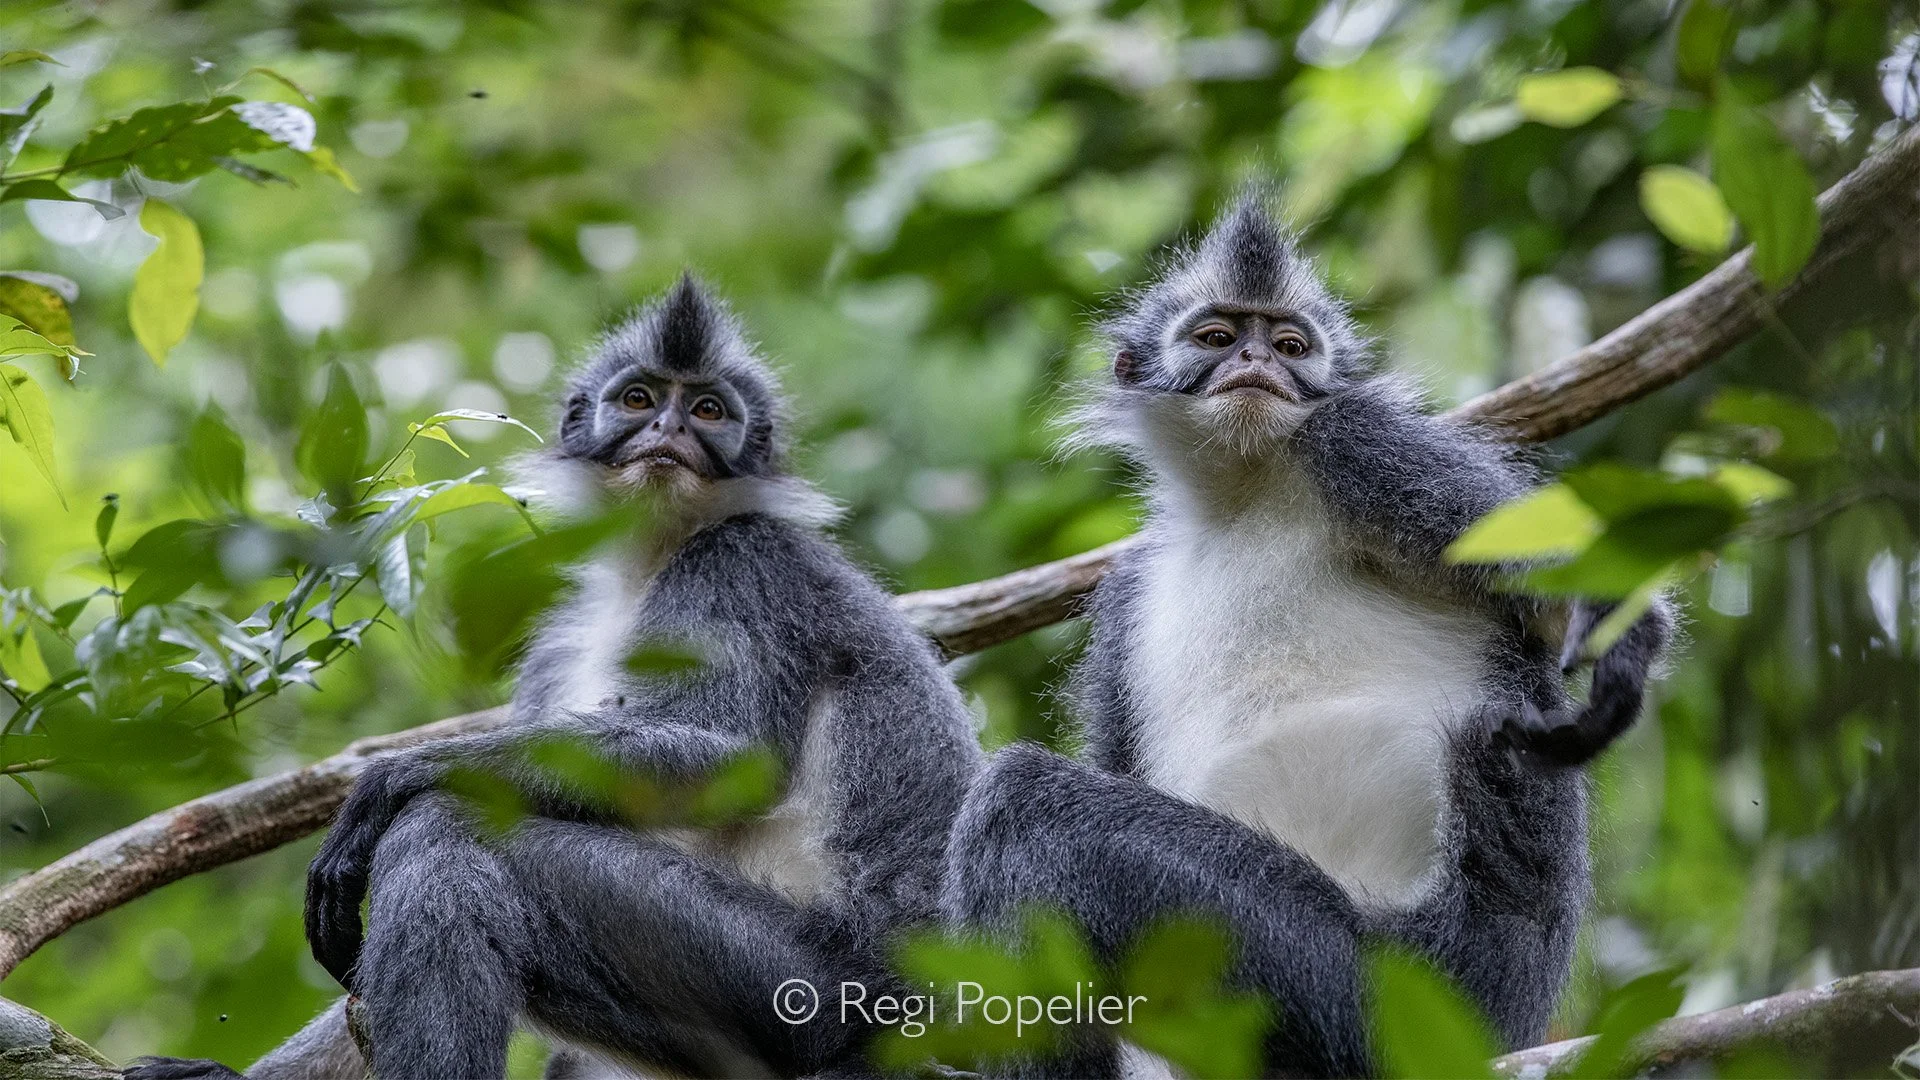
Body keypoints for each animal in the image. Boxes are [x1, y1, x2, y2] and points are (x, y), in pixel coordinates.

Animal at [129, 275, 984, 1080]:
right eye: (640, 400)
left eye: (708, 411)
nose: (670, 431)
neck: (649, 564)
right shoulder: (560, 639)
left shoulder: (742, 563)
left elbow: (729, 761)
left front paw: (386, 781)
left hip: (812, 988)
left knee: (448, 827)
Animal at [939, 196, 1672, 1077]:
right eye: (1218, 337)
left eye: (1291, 347)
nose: (1257, 360)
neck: (1248, 497)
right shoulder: (1126, 594)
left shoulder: (1360, 443)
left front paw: (1622, 639)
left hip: (1393, 994)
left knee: (1024, 802)